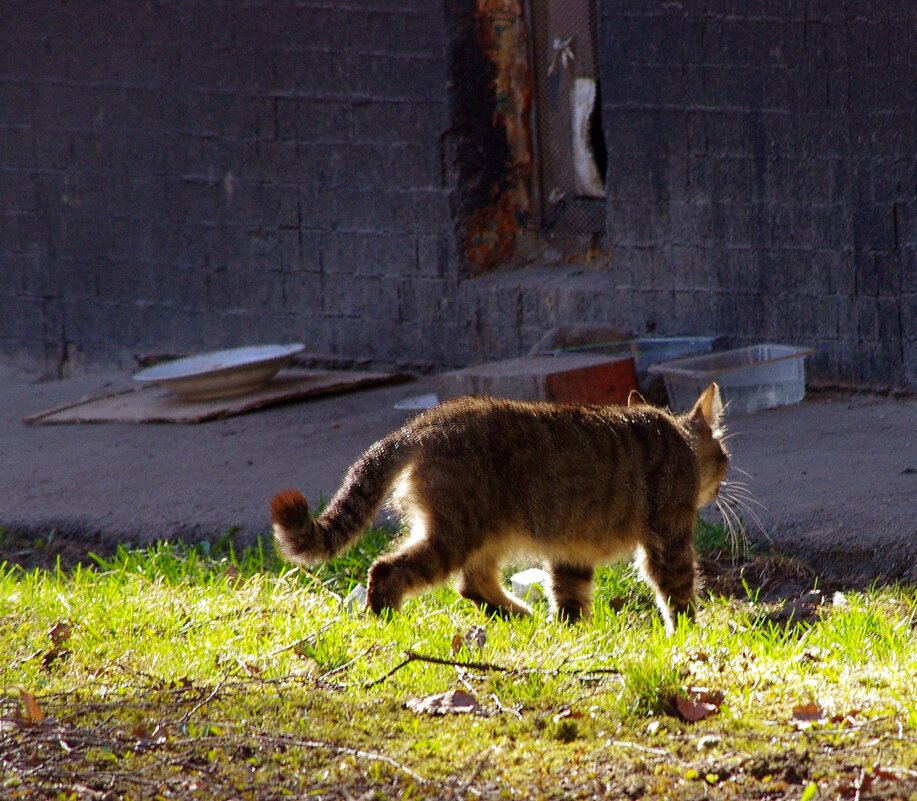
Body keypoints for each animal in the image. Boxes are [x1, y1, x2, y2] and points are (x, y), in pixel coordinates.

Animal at [268, 382, 728, 632]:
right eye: (724, 456)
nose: (721, 484)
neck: (677, 440)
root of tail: (422, 424)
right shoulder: (669, 536)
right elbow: (678, 592)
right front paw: (689, 634)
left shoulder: (571, 550)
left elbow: (570, 598)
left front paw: (572, 633)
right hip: (457, 533)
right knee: (387, 570)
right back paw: (388, 621)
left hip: (485, 535)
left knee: (472, 584)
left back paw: (523, 616)